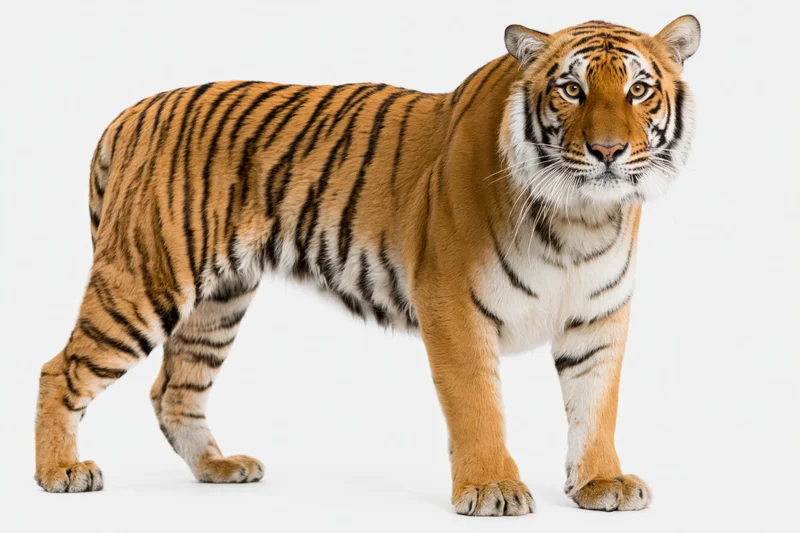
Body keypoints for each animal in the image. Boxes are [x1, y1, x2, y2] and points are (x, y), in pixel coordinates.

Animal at [34, 15, 700, 515]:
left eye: (639, 90)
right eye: (572, 90)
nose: (608, 151)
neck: (582, 217)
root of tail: (131, 112)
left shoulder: (600, 317)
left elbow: (597, 406)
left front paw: (600, 483)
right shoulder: (453, 304)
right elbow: (477, 405)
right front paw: (491, 487)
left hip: (220, 302)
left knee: (174, 389)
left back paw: (218, 467)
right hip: (143, 280)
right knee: (58, 369)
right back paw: (60, 472)